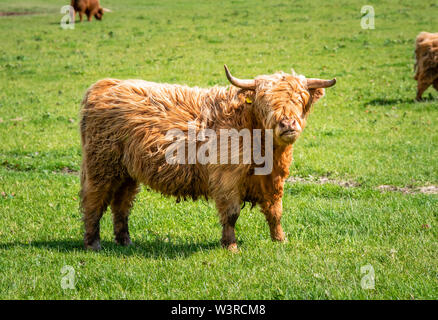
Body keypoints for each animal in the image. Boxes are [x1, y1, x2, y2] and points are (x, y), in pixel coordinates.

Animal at [80, 65, 338, 250]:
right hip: (101, 165)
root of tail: (104, 85)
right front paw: (231, 246)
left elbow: (275, 211)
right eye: (265, 102)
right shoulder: (227, 178)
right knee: (94, 200)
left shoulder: (274, 179)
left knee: (121, 204)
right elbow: (231, 214)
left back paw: (125, 241)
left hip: (126, 173)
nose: (288, 124)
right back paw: (93, 244)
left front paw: (280, 240)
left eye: (300, 98)